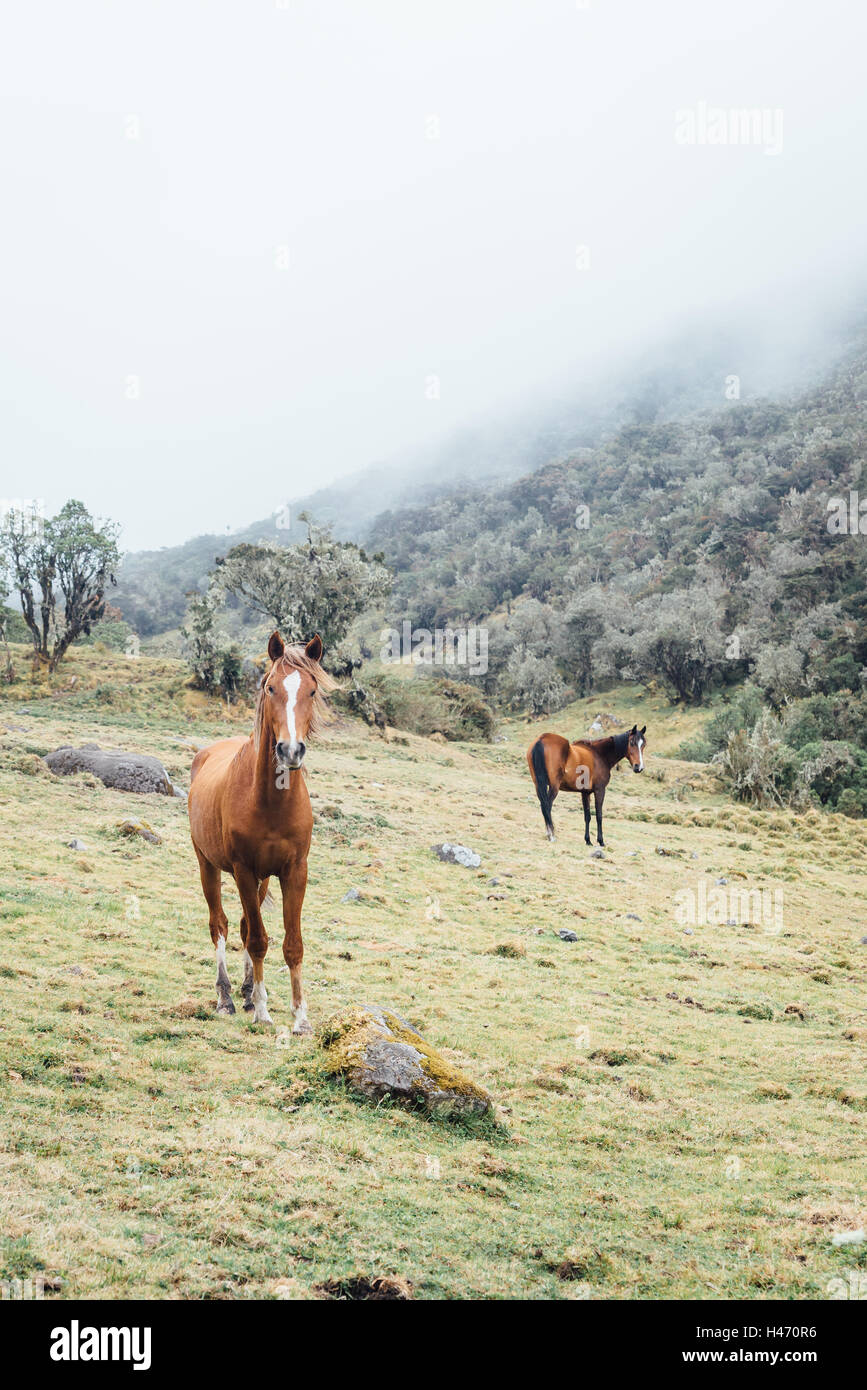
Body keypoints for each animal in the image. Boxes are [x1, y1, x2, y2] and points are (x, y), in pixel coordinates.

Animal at [188, 631, 335, 1032]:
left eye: (312, 690)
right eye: (270, 687)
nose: (290, 750)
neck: (271, 803)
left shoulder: (293, 871)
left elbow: (291, 944)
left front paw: (300, 1018)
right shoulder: (243, 870)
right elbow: (256, 940)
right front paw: (265, 1012)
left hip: (263, 879)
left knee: (240, 925)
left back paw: (247, 992)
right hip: (208, 865)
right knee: (220, 925)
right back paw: (226, 997)